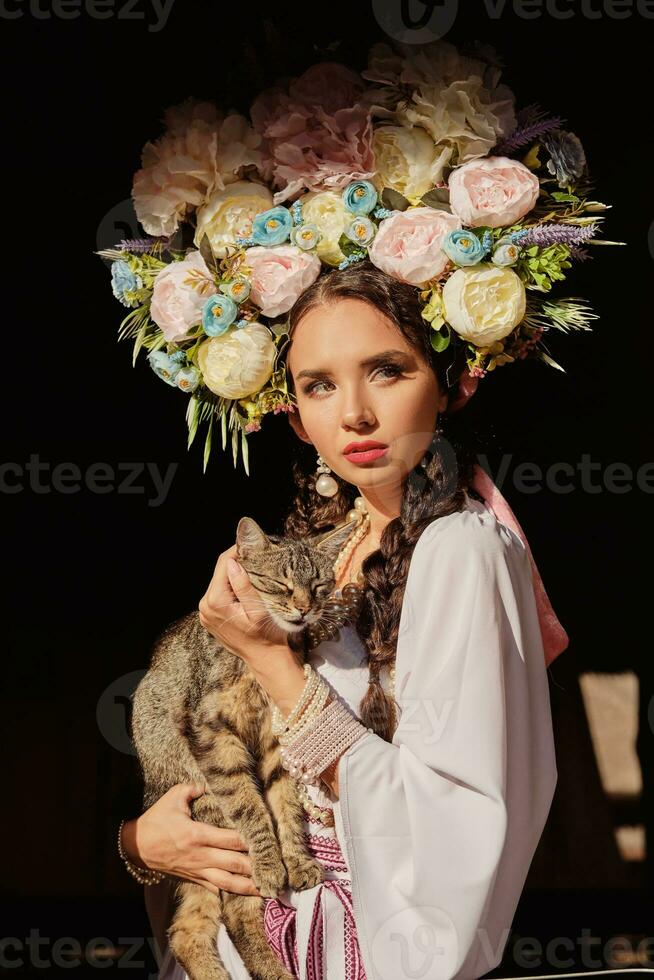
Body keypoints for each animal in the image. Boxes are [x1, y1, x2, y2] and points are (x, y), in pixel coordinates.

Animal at [131, 512, 362, 980]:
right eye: (280, 584)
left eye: (319, 585)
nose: (304, 608)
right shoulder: (214, 735)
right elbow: (251, 806)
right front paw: (272, 864)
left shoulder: (276, 741)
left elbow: (286, 808)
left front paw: (299, 861)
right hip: (208, 807)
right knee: (232, 913)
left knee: (187, 930)